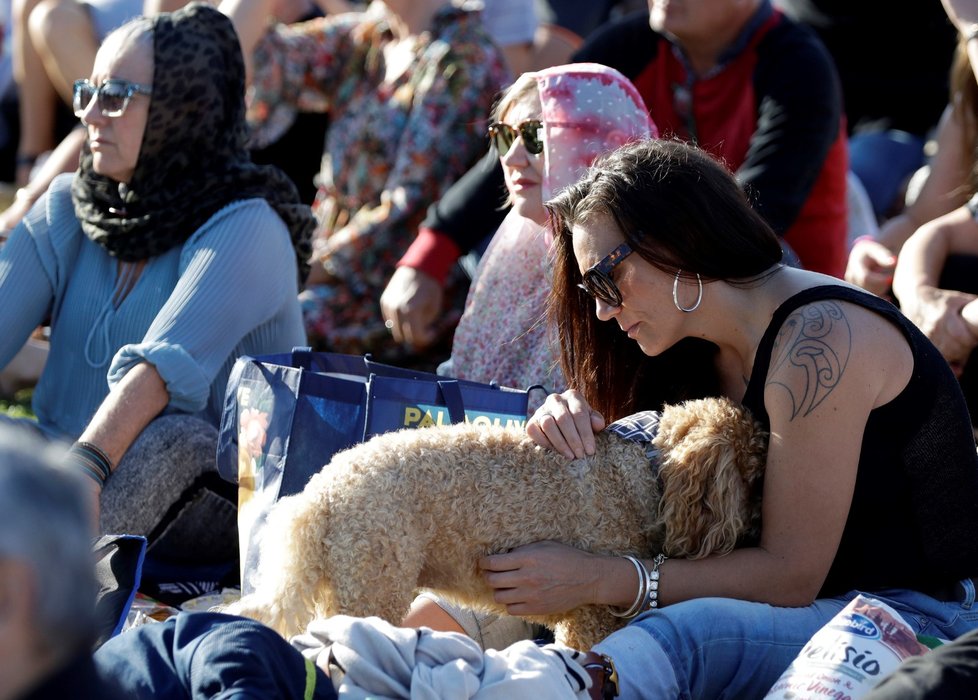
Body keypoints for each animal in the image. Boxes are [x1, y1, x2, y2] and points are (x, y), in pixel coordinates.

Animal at [227, 396, 764, 648]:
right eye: (753, 471)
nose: (759, 525)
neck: (646, 470)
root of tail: (318, 496)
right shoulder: (589, 615)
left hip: (342, 587)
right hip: (373, 585)